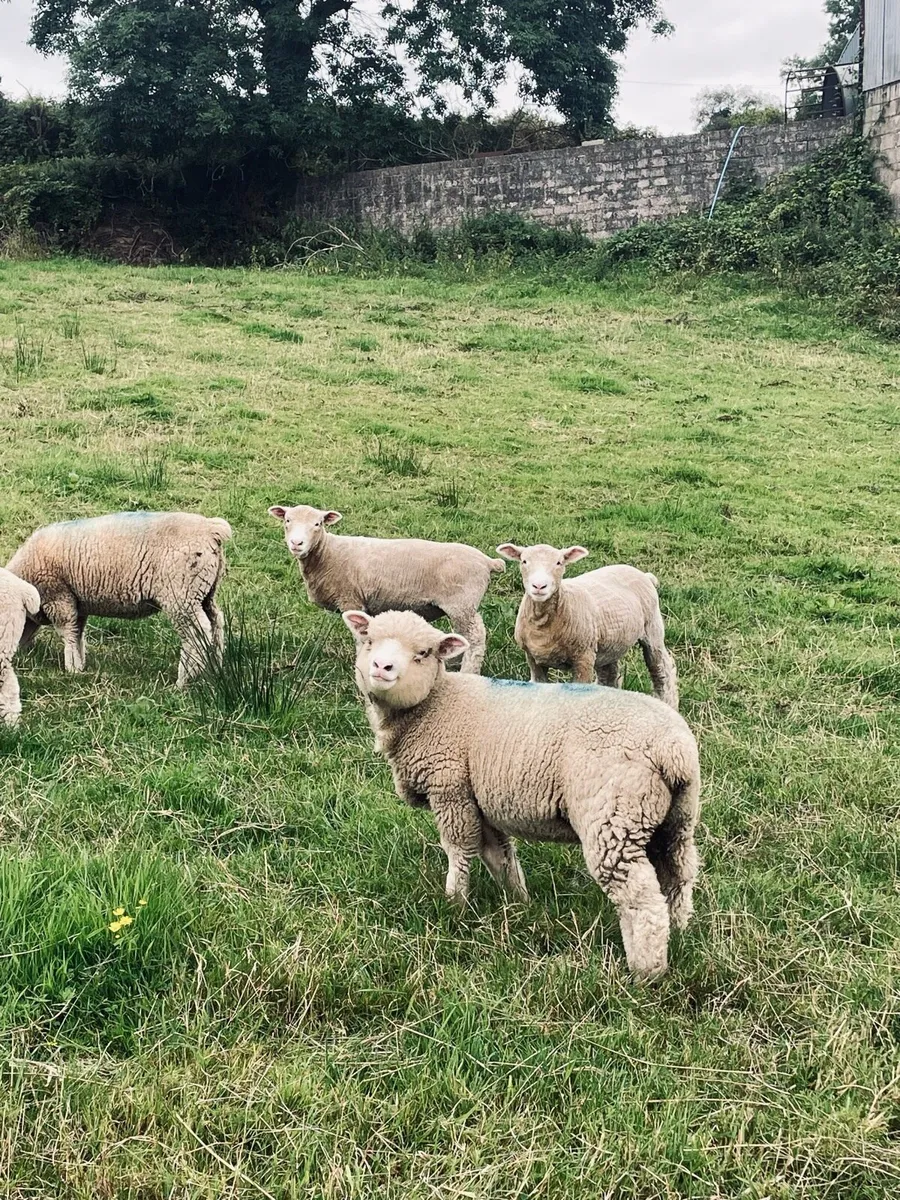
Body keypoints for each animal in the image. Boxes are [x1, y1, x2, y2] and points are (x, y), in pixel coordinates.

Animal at [6, 511, 232, 688]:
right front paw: (80, 665)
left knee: (197, 632)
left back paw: (185, 678)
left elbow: (68, 634)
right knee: (216, 622)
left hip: (181, 594)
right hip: (205, 592)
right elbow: (78, 634)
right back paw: (215, 668)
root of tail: (212, 530)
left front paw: (72, 668)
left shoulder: (59, 597)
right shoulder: (78, 604)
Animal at [268, 503, 505, 674]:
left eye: (318, 524)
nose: (296, 543)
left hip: (462, 605)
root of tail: (487, 561)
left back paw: (468, 671)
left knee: (476, 639)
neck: (327, 553)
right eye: (287, 520)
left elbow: (360, 638)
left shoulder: (351, 599)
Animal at [342, 609, 700, 981]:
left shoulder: (451, 789)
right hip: (674, 819)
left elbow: (459, 850)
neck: (434, 705)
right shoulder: (479, 797)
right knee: (678, 875)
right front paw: (518, 901)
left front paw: (454, 904)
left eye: (423, 653)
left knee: (640, 896)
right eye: (369, 640)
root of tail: (674, 751)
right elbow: (498, 854)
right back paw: (680, 932)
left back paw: (646, 971)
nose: (381, 667)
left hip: (614, 818)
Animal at [497, 543, 679, 709]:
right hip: (609, 645)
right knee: (610, 675)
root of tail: (644, 575)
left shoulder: (583, 657)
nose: (539, 586)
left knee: (662, 671)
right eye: (524, 561)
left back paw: (668, 703)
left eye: (559, 562)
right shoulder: (533, 659)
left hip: (652, 629)